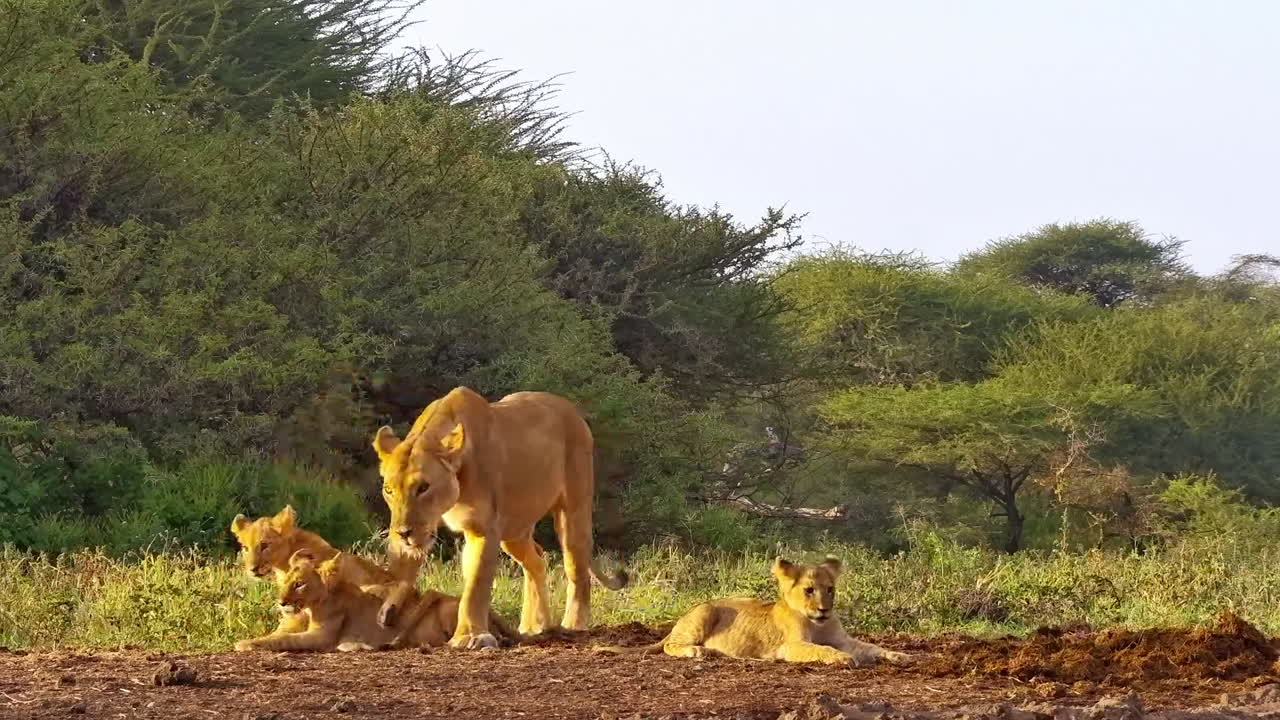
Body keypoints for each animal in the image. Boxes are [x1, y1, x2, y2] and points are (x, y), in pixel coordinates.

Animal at [234, 550, 517, 653]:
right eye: (284, 583)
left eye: (299, 583)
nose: (281, 602)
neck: (306, 610)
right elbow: (275, 635)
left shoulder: (321, 637)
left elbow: (283, 640)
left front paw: (245, 644)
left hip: (451, 609)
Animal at [373, 386, 627, 650]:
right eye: (389, 490)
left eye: (423, 487)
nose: (404, 533)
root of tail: (572, 410)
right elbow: (401, 573)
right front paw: (387, 613)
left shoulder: (483, 528)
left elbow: (475, 585)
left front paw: (470, 636)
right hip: (514, 529)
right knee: (536, 561)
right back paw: (535, 625)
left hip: (573, 510)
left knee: (576, 568)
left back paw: (574, 624)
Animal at [596, 556, 912, 666]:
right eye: (809, 590)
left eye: (830, 589)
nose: (824, 609)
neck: (818, 623)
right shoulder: (791, 646)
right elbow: (821, 649)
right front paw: (843, 659)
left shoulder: (843, 638)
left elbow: (870, 646)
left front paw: (899, 655)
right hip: (704, 613)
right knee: (669, 645)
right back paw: (697, 652)